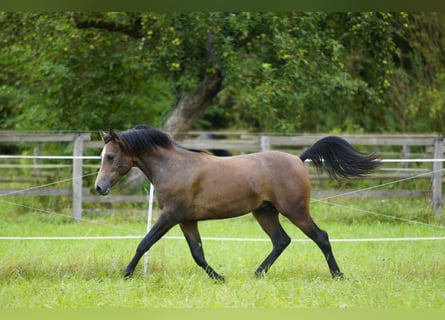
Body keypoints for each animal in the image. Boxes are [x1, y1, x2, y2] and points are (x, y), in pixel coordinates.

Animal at [93, 125, 378, 280]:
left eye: (110, 156)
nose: (99, 187)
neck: (174, 167)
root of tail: (299, 159)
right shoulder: (187, 220)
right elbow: (197, 254)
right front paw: (220, 278)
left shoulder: (170, 216)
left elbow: (144, 243)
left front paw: (125, 275)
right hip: (265, 213)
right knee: (281, 241)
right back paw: (257, 273)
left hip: (295, 211)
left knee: (321, 237)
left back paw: (338, 275)